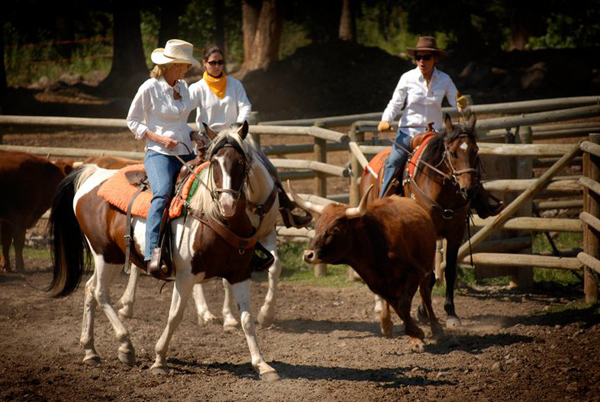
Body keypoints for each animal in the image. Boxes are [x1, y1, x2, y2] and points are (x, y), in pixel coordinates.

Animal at [48, 124, 278, 382]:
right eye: (214, 162)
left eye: (241, 162)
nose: (227, 204)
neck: (214, 217)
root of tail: (94, 173)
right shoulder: (186, 276)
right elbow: (175, 315)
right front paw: (159, 360)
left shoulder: (240, 274)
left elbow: (247, 319)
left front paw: (262, 365)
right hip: (104, 255)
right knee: (99, 292)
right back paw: (125, 346)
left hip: (112, 258)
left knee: (90, 289)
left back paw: (90, 351)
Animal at [358, 113, 480, 326]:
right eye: (453, 153)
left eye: (475, 151)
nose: (469, 190)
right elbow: (428, 275)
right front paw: (423, 310)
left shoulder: (456, 233)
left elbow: (449, 271)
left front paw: (450, 312)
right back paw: (381, 305)